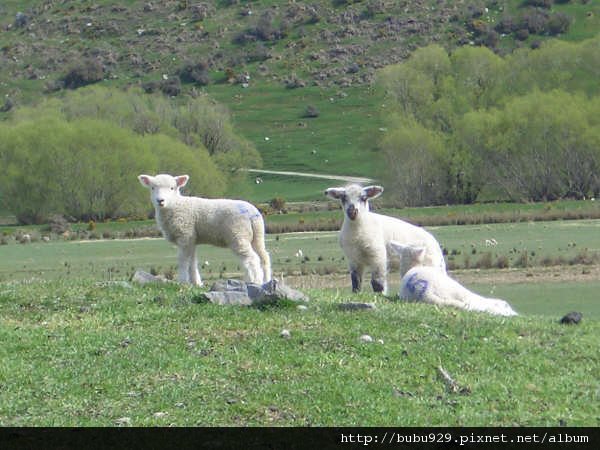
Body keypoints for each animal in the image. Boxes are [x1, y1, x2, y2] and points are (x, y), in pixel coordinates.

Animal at [138, 174, 272, 286]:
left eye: (172, 188)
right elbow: (192, 262)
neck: (176, 205)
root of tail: (252, 213)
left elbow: (183, 261)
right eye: (152, 188)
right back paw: (266, 280)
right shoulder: (191, 239)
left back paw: (255, 281)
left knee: (252, 259)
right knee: (264, 257)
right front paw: (196, 283)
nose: (160, 200)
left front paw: (182, 281)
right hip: (257, 236)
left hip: (238, 234)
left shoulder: (185, 235)